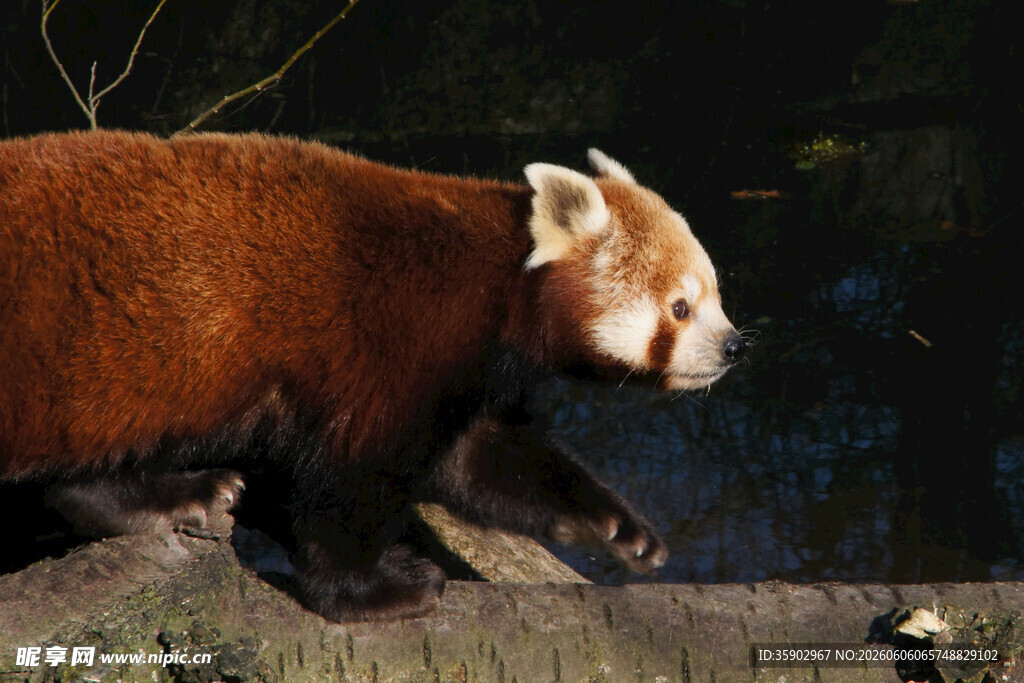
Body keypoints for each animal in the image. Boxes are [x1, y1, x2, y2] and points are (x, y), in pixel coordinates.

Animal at [0, 130, 744, 622]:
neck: (496, 285)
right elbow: (348, 483)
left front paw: (616, 528)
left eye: (715, 294)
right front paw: (377, 591)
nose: (734, 346)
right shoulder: (384, 347)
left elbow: (484, 461)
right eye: (680, 307)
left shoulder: (464, 378)